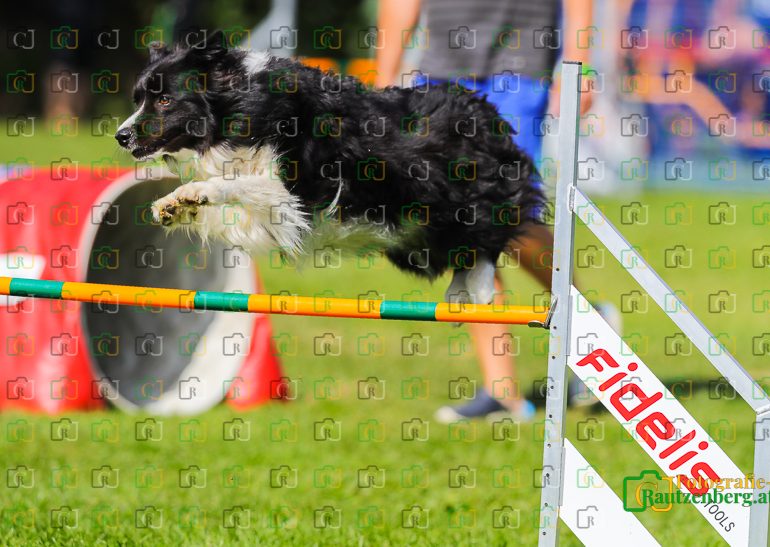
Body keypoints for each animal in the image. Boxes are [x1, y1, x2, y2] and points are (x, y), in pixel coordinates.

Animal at [115, 31, 546, 305]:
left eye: (165, 100)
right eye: (138, 99)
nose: (121, 136)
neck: (243, 107)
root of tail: (490, 114)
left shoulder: (298, 193)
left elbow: (238, 182)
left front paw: (194, 193)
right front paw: (174, 205)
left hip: (468, 200)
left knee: (489, 239)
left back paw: (476, 290)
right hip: (415, 235)